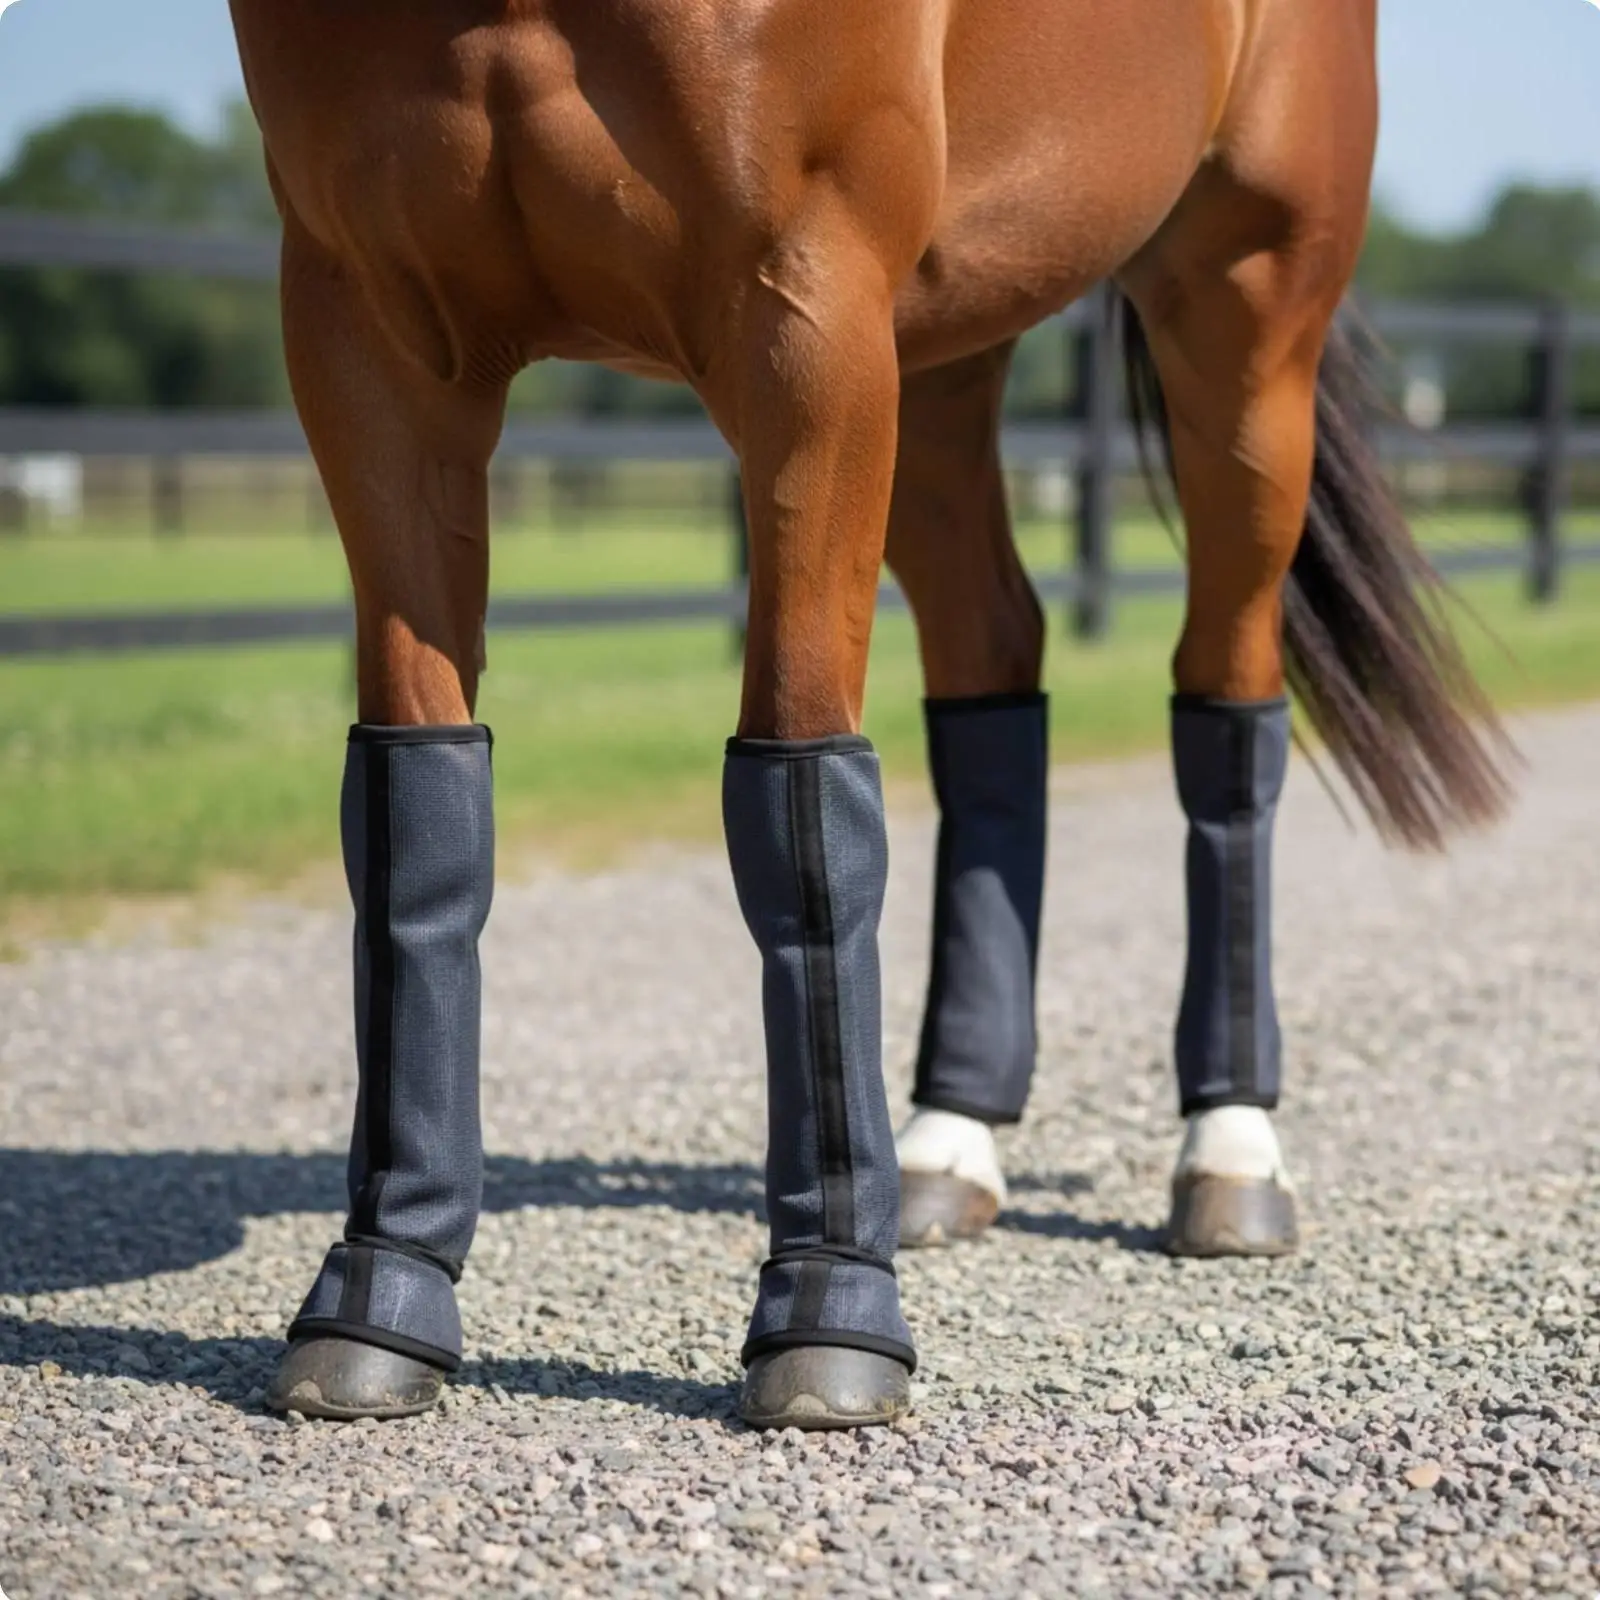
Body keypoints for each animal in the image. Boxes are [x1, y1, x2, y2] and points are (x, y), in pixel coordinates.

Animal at [226, 0, 1510, 1431]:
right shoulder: (367, 336)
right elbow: (416, 816)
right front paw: (378, 1296)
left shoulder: (806, 317)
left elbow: (799, 800)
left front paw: (830, 1317)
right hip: (945, 345)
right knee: (993, 667)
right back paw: (951, 1141)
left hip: (1240, 323)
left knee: (1226, 706)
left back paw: (1228, 1153)